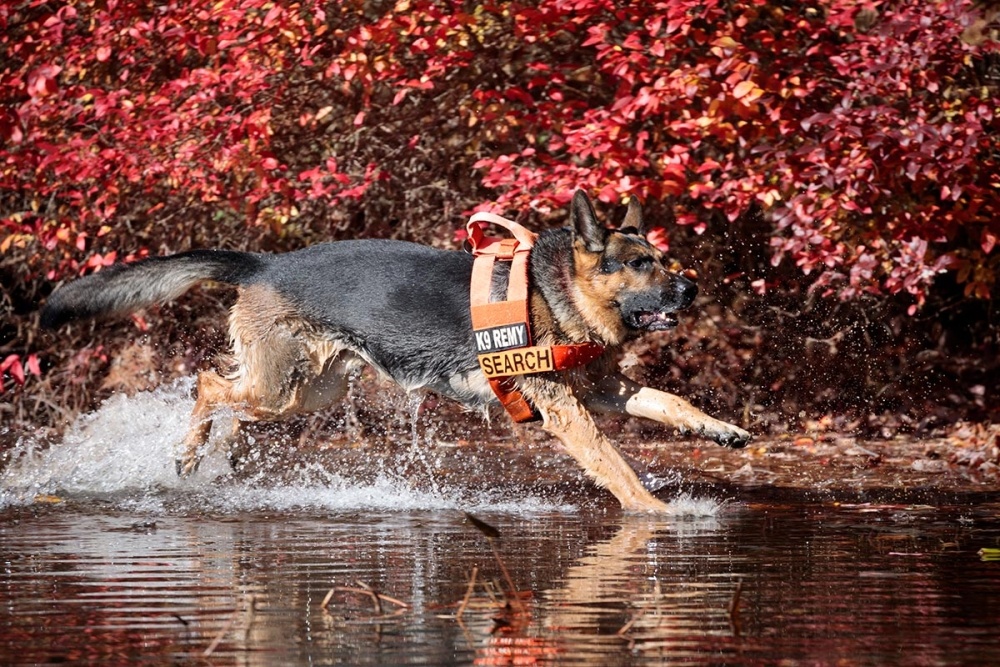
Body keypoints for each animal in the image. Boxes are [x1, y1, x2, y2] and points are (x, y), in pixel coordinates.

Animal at [45, 190, 752, 516]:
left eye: (666, 260)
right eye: (639, 265)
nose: (691, 289)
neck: (559, 291)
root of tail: (264, 263)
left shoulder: (602, 391)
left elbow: (668, 399)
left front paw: (719, 429)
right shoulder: (565, 409)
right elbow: (614, 462)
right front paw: (657, 514)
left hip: (310, 390)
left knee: (230, 401)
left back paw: (220, 452)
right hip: (282, 386)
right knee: (206, 384)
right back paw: (189, 454)